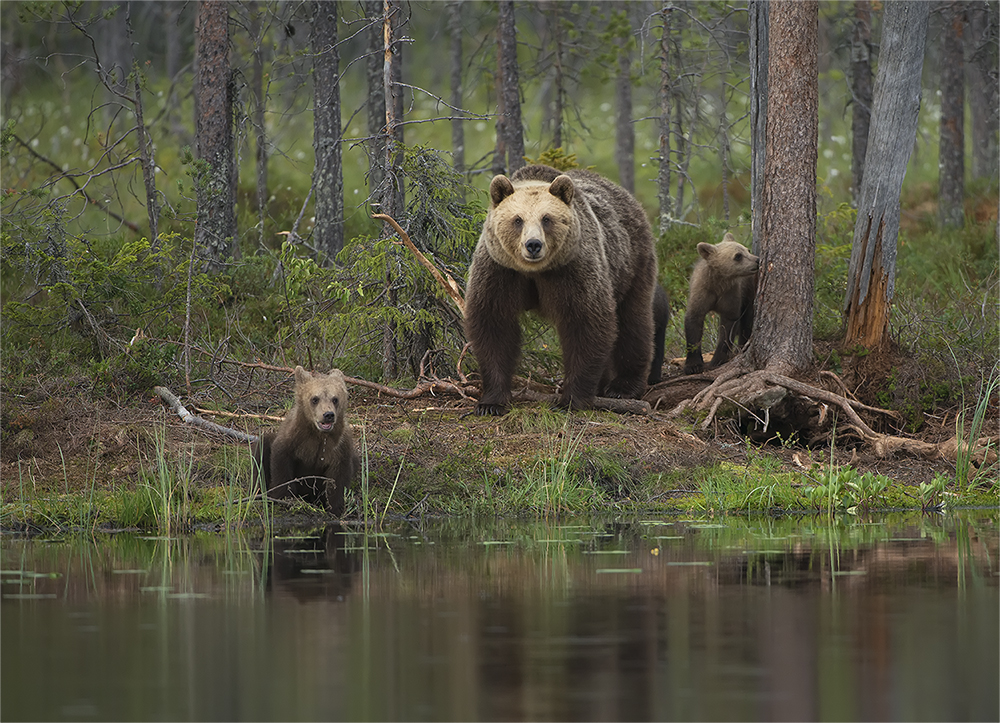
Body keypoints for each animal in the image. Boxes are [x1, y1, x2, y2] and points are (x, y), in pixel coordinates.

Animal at [462, 163, 656, 412]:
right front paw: (491, 401)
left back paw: (623, 387)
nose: (533, 245)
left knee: (633, 321)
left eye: (547, 218)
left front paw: (571, 399)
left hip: (631, 263)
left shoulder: (573, 270)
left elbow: (586, 324)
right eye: (518, 219)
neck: (534, 272)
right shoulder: (500, 271)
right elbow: (494, 324)